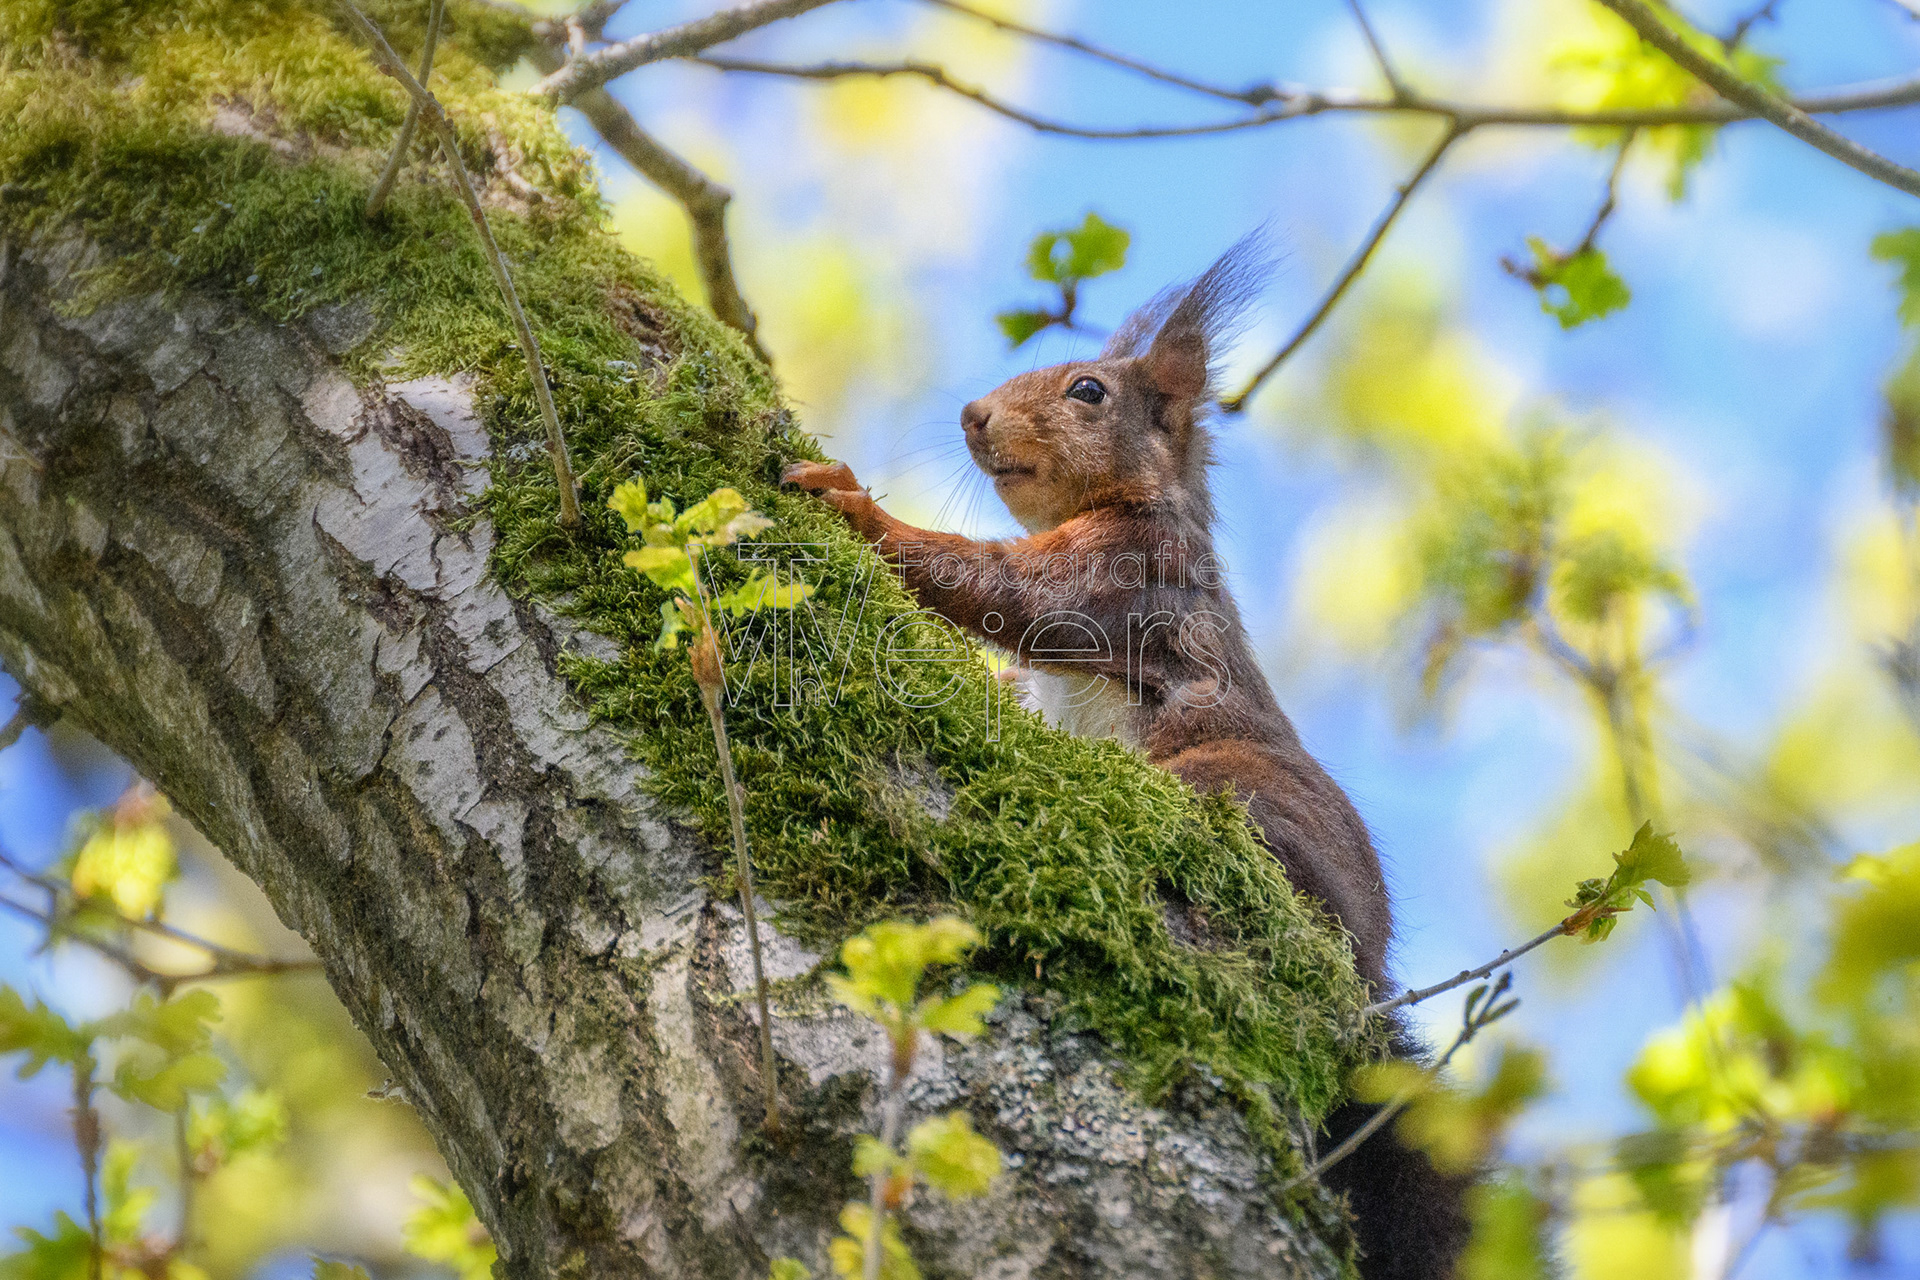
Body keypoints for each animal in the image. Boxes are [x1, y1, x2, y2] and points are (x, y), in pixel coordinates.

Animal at [785, 233, 1470, 1280]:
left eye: (1088, 392)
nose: (972, 414)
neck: (1138, 501)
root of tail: (1370, 982)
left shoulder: (1128, 571)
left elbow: (1006, 588)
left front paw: (862, 510)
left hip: (1231, 785)